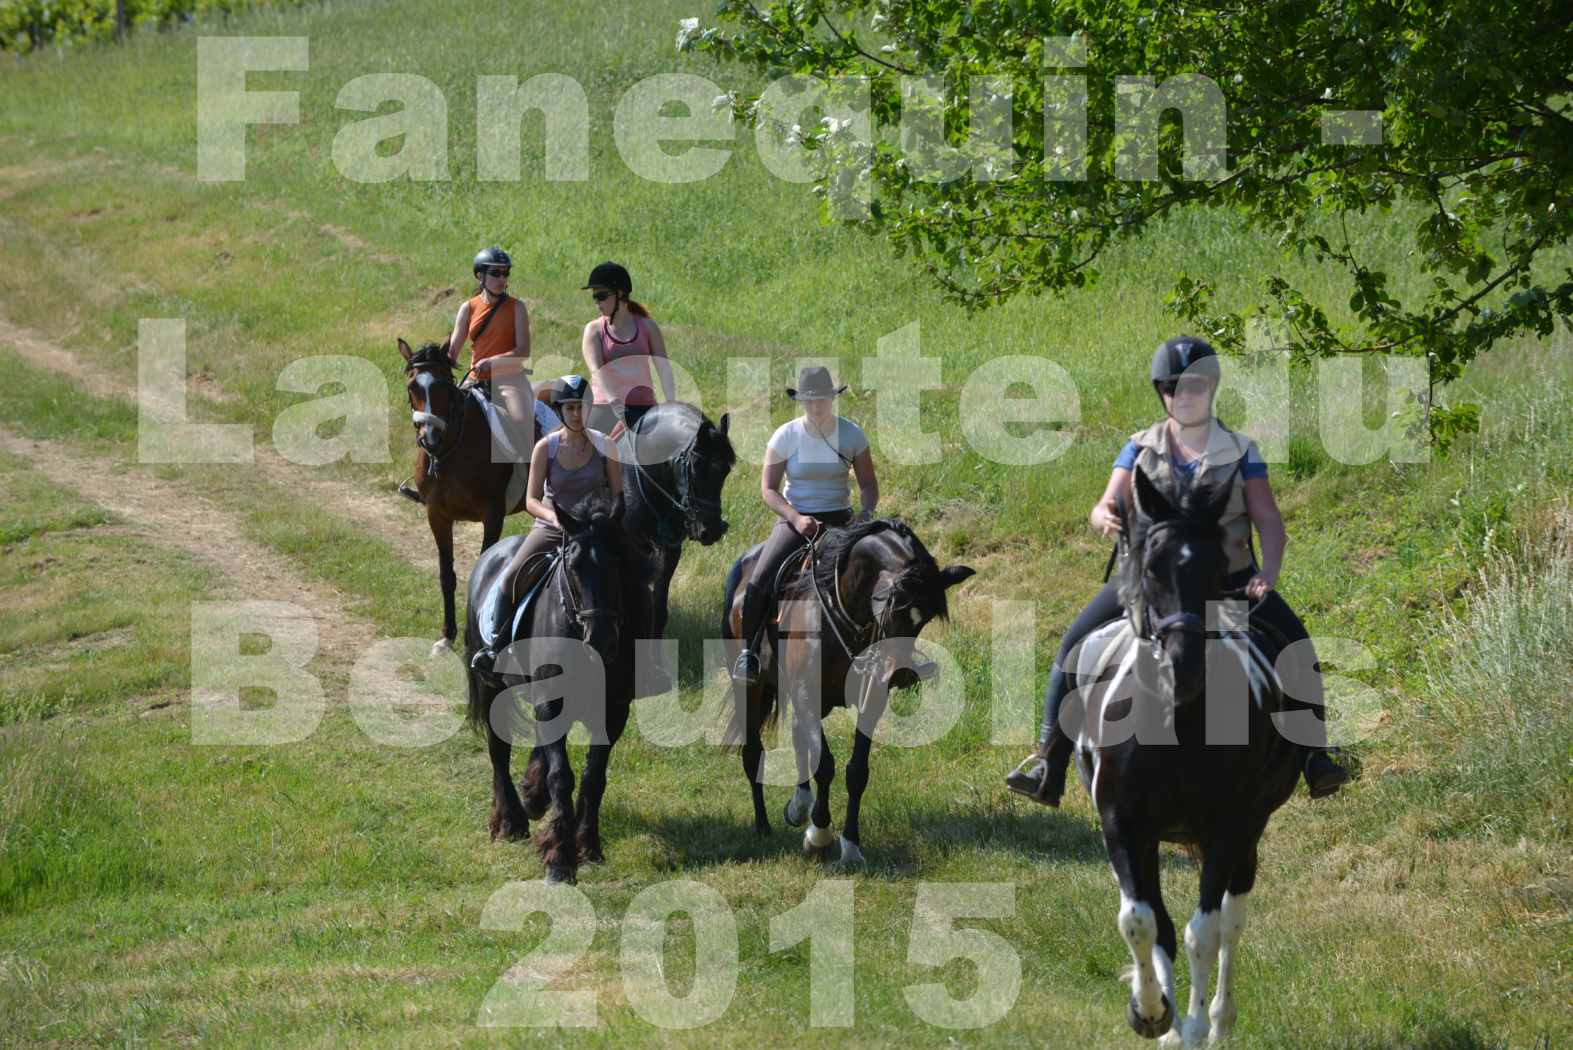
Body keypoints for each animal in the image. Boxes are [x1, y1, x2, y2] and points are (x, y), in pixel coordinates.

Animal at [462, 487, 622, 880]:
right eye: (574, 567)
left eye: (617, 563)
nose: (601, 639)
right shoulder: (550, 702)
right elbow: (561, 776)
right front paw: (559, 859)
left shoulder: (612, 711)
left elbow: (594, 777)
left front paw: (588, 845)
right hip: (492, 687)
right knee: (498, 750)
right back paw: (510, 821)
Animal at [720, 521, 968, 867]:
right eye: (894, 609)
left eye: (926, 619)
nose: (900, 674)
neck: (845, 607)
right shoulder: (807, 692)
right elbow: (825, 765)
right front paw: (819, 837)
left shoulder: (870, 698)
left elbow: (856, 771)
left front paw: (850, 846)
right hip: (752, 688)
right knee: (753, 752)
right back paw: (763, 826)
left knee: (797, 736)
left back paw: (799, 806)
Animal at [1069, 468, 1315, 1050]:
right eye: (1150, 567)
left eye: (1217, 570)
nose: (1183, 666)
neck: (1177, 727)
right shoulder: (1124, 825)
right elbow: (1142, 922)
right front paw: (1153, 1014)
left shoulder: (1228, 828)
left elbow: (1204, 931)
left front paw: (1197, 1026)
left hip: (1248, 833)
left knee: (1232, 918)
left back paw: (1220, 1019)